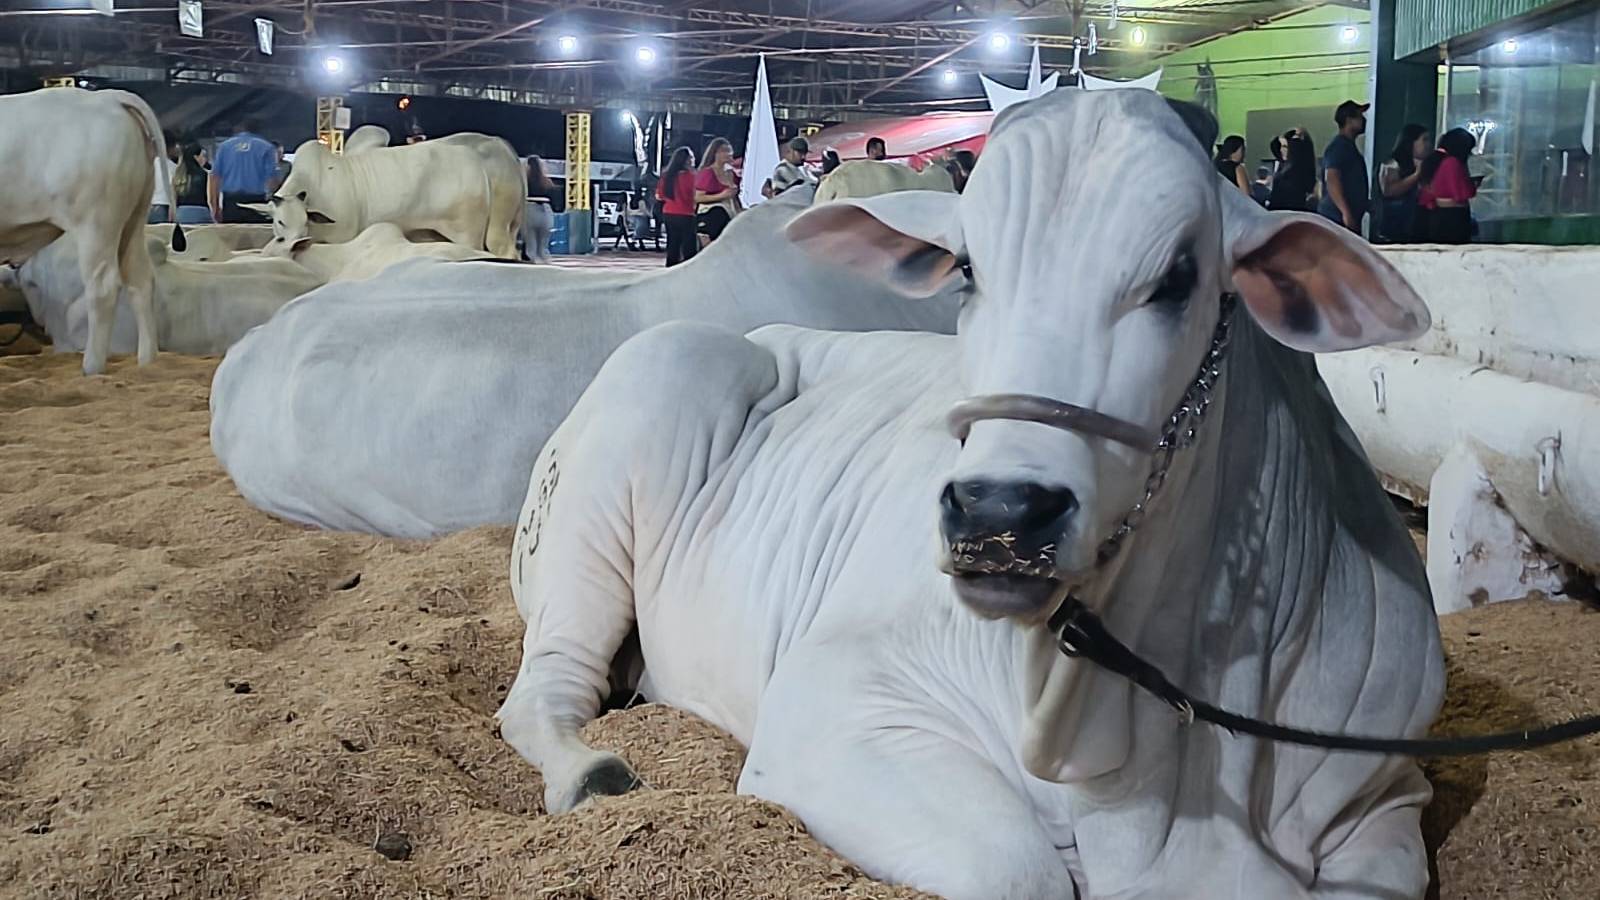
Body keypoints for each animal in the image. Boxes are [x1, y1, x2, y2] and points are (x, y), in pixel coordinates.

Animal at [0, 86, 181, 371]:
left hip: (96, 223)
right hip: (134, 220)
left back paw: (92, 366)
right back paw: (146, 361)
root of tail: (108, 97)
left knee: (103, 287)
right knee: (141, 280)